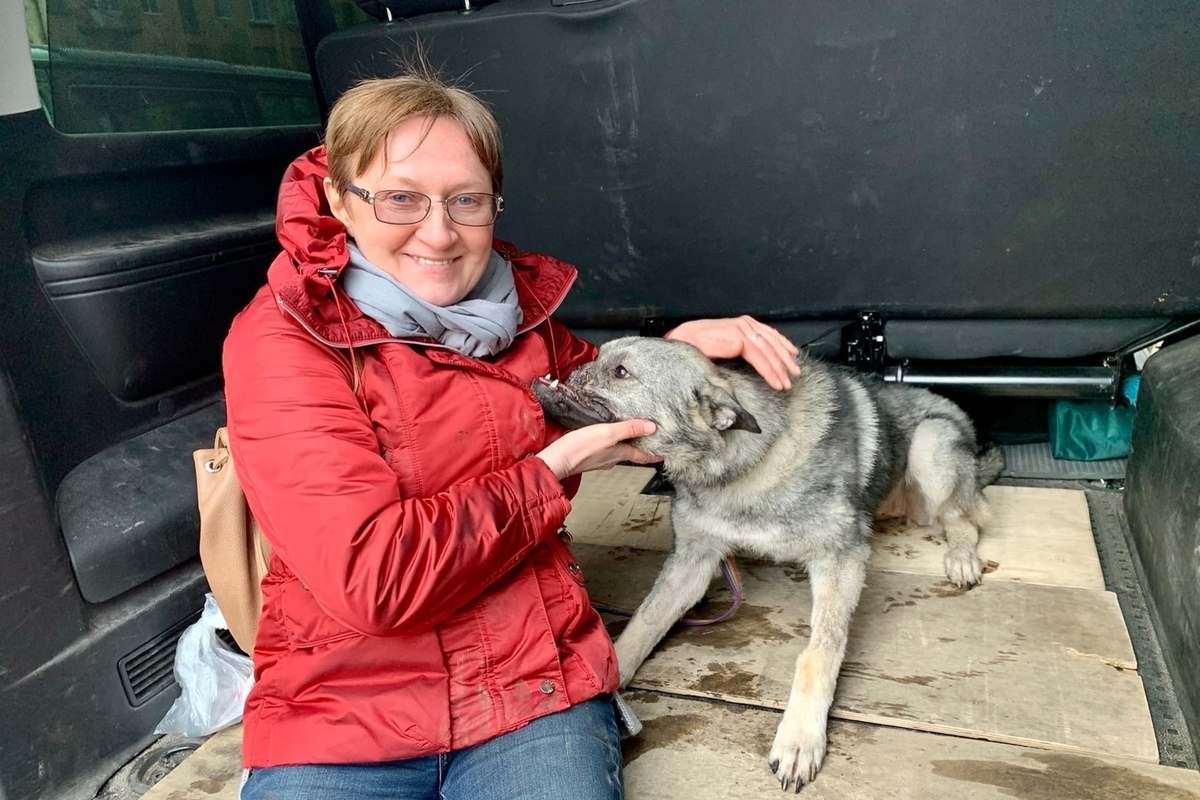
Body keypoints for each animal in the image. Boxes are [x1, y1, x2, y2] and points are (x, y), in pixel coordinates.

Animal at [537, 335, 1003, 791]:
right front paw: (608, 677)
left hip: (931, 444)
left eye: (621, 372)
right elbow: (642, 624)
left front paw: (800, 738)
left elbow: (819, 651)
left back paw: (962, 557)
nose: (569, 367)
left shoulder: (842, 558)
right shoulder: (693, 561)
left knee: (963, 517)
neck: (743, 465)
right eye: (598, 355)